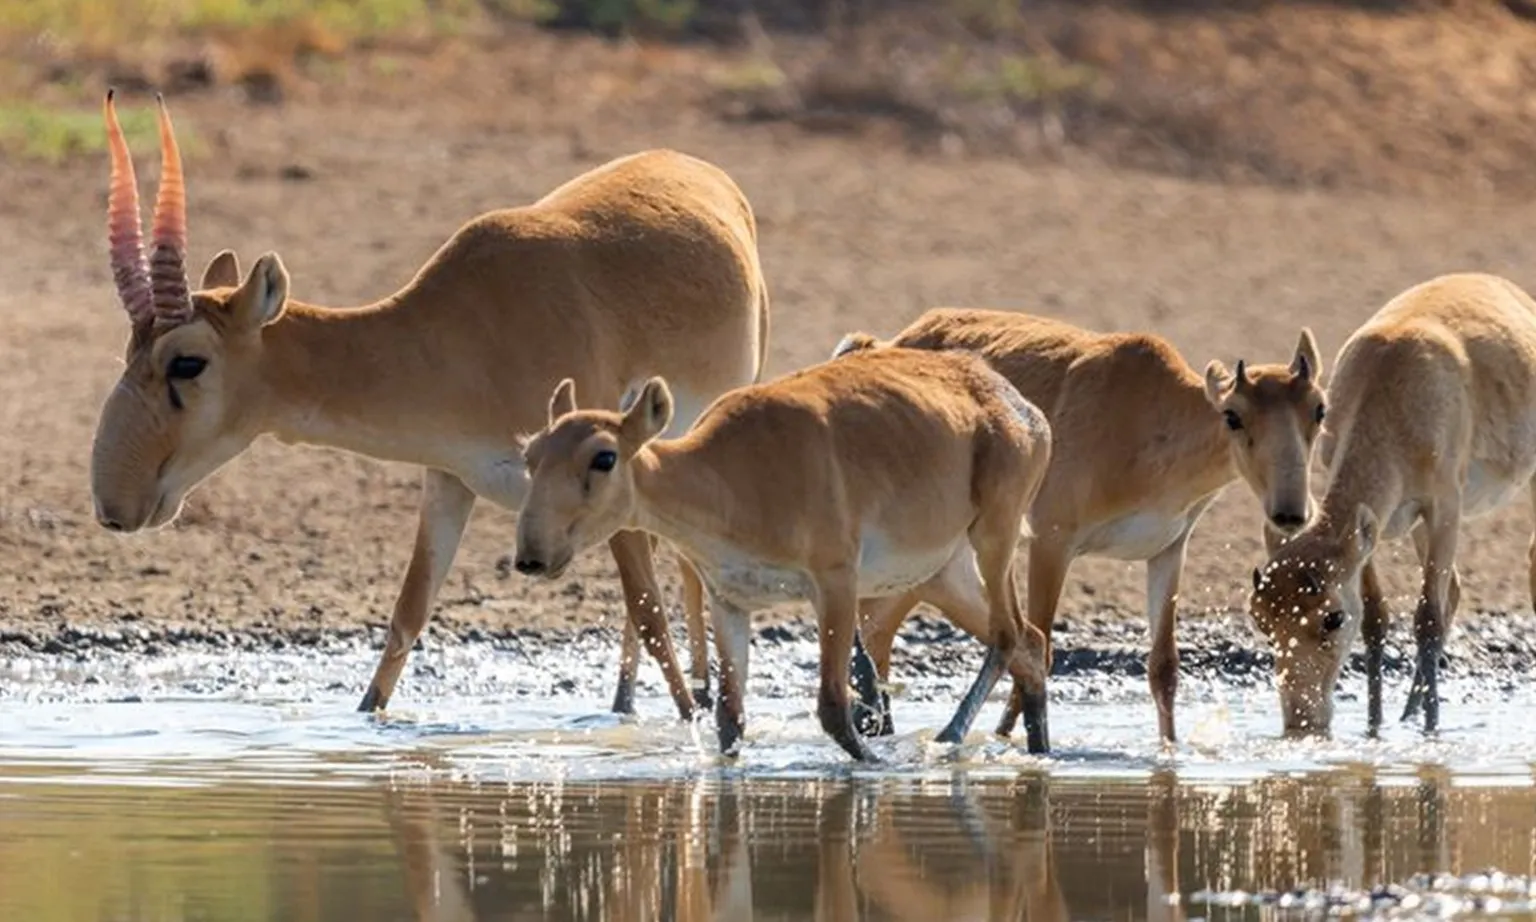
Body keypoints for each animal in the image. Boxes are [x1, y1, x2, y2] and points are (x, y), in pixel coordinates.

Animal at [84, 88, 768, 719]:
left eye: (187, 361)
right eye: (129, 348)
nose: (115, 506)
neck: (466, 329)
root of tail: (699, 170)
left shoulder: (605, 462)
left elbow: (649, 614)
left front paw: (691, 722)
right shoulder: (448, 479)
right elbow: (407, 614)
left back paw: (694, 690)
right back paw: (638, 696)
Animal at [516, 347, 1056, 762]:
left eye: (604, 456)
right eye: (530, 455)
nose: (531, 556)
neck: (732, 475)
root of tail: (1023, 407)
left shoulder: (836, 583)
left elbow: (835, 709)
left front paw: (877, 763)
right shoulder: (730, 601)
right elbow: (730, 718)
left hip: (995, 534)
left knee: (1009, 634)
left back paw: (948, 737)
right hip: (943, 574)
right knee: (1031, 644)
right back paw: (1038, 750)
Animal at [835, 307, 1327, 740]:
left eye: (1319, 409)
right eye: (1233, 414)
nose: (1290, 513)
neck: (1148, 419)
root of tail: (876, 343)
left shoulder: (1169, 550)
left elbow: (1163, 667)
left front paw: (1170, 750)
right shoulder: (1052, 543)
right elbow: (1041, 650)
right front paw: (1006, 743)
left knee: (877, 627)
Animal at [1247, 270, 1536, 737]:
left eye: (1331, 617)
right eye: (1260, 620)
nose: (1301, 722)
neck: (1390, 384)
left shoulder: (1445, 509)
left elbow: (1426, 618)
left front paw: (1431, 731)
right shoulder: (1371, 532)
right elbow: (1376, 619)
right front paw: (1375, 726)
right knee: (1454, 588)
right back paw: (1408, 711)